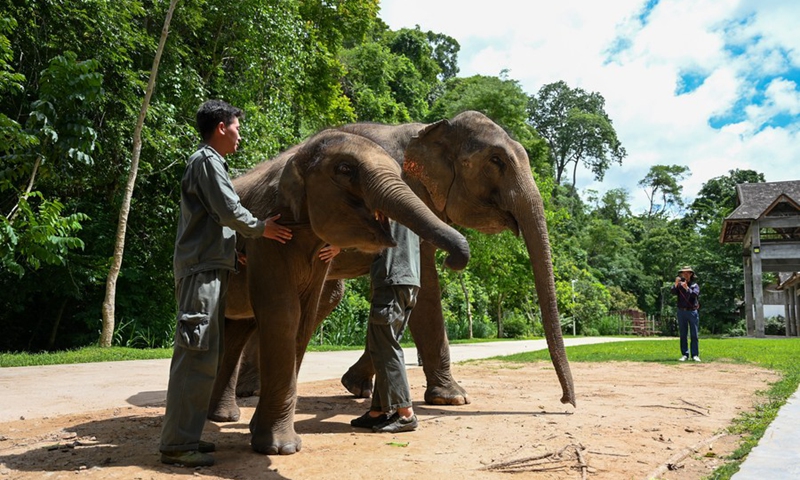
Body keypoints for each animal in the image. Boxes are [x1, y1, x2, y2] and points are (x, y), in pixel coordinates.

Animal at [206, 129, 470, 455]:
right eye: (344, 170)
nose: (453, 260)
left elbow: (303, 319)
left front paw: (274, 442)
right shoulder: (267, 237)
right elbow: (283, 313)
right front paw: (279, 449)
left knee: (237, 331)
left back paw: (224, 417)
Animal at [216, 111, 575, 419]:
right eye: (496, 161)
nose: (566, 404)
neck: (431, 128)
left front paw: (355, 386)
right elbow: (424, 286)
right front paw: (453, 398)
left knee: (329, 295)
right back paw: (250, 391)